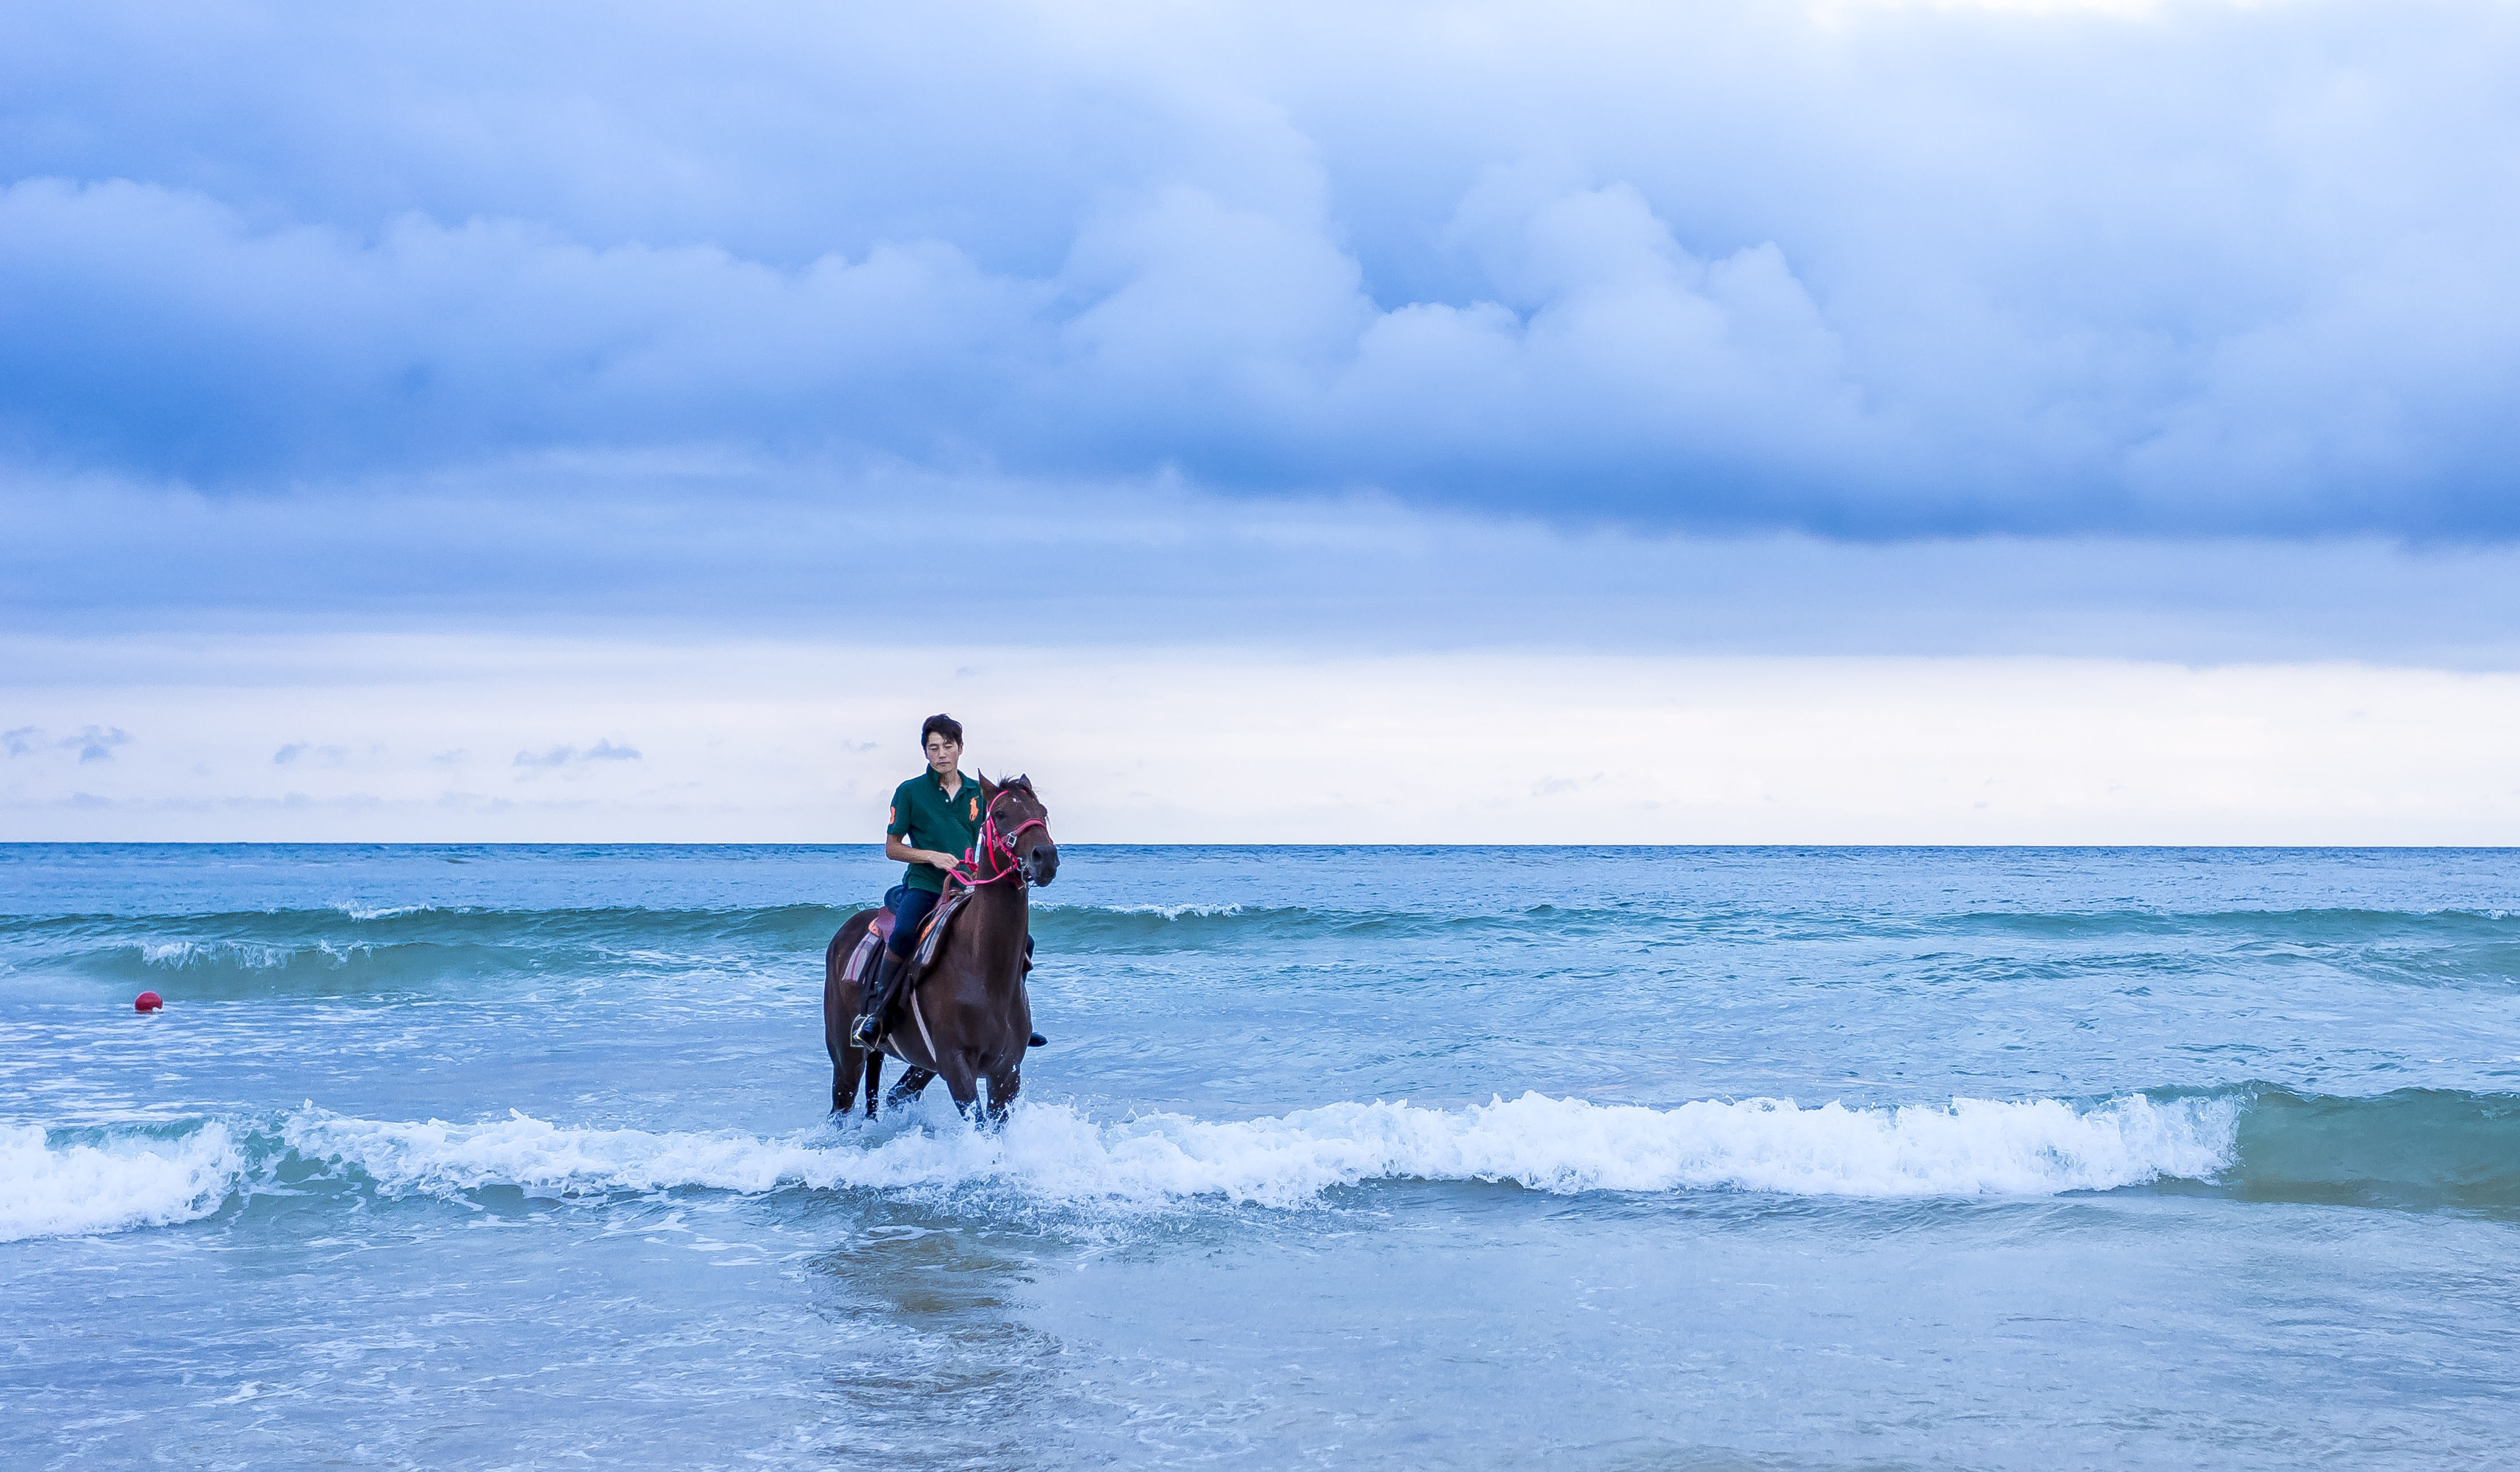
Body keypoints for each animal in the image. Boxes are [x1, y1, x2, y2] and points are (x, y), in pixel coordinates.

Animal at [822, 776, 1058, 1119]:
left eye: (1042, 812)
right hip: (846, 1059)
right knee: (841, 1108)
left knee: (896, 1095)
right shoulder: (956, 1066)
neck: (983, 969)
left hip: (921, 1065)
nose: (1046, 858)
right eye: (1000, 814)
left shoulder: (1006, 1074)